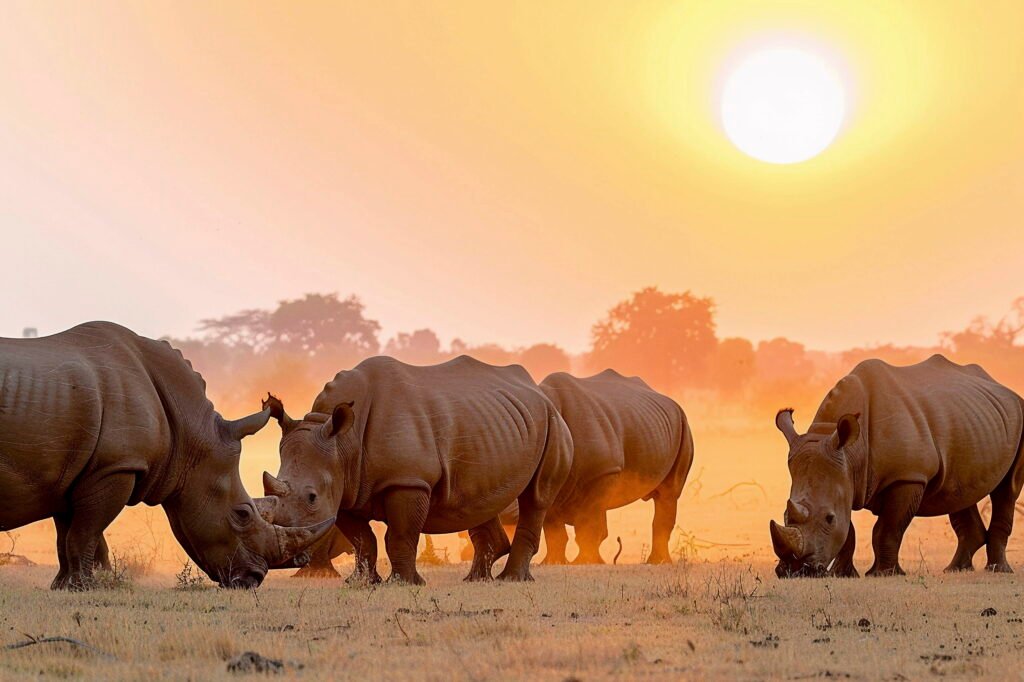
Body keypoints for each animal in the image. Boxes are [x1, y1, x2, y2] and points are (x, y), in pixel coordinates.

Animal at [0, 322, 335, 590]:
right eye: (242, 514)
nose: (253, 579)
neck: (190, 436)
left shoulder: (75, 471)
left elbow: (71, 534)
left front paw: (67, 585)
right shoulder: (115, 466)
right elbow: (85, 532)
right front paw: (82, 587)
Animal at [259, 355, 573, 584]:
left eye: (311, 497)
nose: (282, 561)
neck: (343, 441)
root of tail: (538, 390)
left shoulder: (408, 481)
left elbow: (400, 535)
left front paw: (404, 584)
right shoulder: (345, 488)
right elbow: (362, 539)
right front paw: (361, 583)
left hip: (553, 422)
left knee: (537, 497)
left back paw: (512, 580)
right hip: (495, 423)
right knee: (483, 500)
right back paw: (476, 580)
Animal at [538, 370, 694, 564]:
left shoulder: (604, 472)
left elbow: (587, 522)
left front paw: (585, 562)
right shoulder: (547, 479)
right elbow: (554, 528)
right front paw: (553, 563)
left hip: (683, 425)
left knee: (668, 494)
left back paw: (658, 562)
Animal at [771, 355, 1024, 578]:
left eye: (828, 518)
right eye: (785, 515)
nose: (795, 571)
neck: (852, 452)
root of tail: (1007, 390)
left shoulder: (907, 476)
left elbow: (887, 528)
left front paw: (882, 574)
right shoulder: (844, 478)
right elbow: (848, 530)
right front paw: (841, 575)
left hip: (1019, 417)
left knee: (1006, 491)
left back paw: (997, 570)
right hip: (970, 420)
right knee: (959, 492)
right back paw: (955, 570)